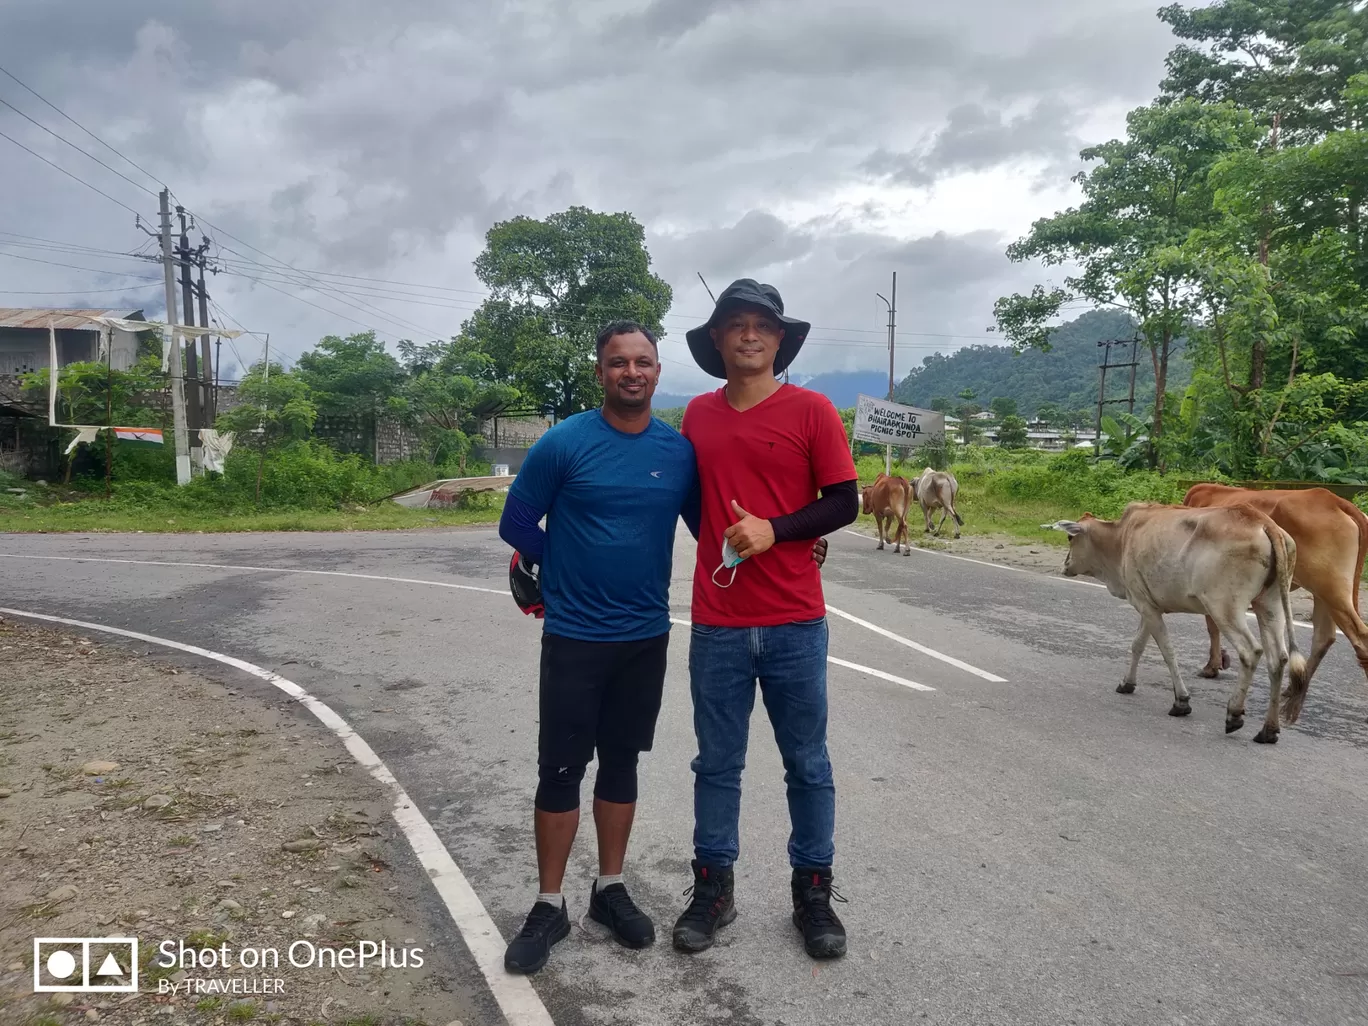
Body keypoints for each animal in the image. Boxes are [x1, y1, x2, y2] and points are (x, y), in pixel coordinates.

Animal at [1050, 503, 1307, 744]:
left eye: (1070, 538)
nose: (1065, 564)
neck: (1121, 537)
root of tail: (1263, 522)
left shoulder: (1146, 605)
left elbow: (1167, 651)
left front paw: (1181, 701)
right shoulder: (1148, 606)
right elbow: (1137, 645)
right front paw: (1127, 683)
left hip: (1224, 608)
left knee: (1251, 651)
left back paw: (1234, 714)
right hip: (1270, 604)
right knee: (1278, 659)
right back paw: (1268, 730)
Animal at [1176, 484, 1368, 716]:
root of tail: (1336, 500)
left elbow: (1212, 626)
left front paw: (1212, 666)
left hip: (1331, 587)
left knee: (1359, 637)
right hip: (1323, 591)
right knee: (1324, 637)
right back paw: (1292, 690)